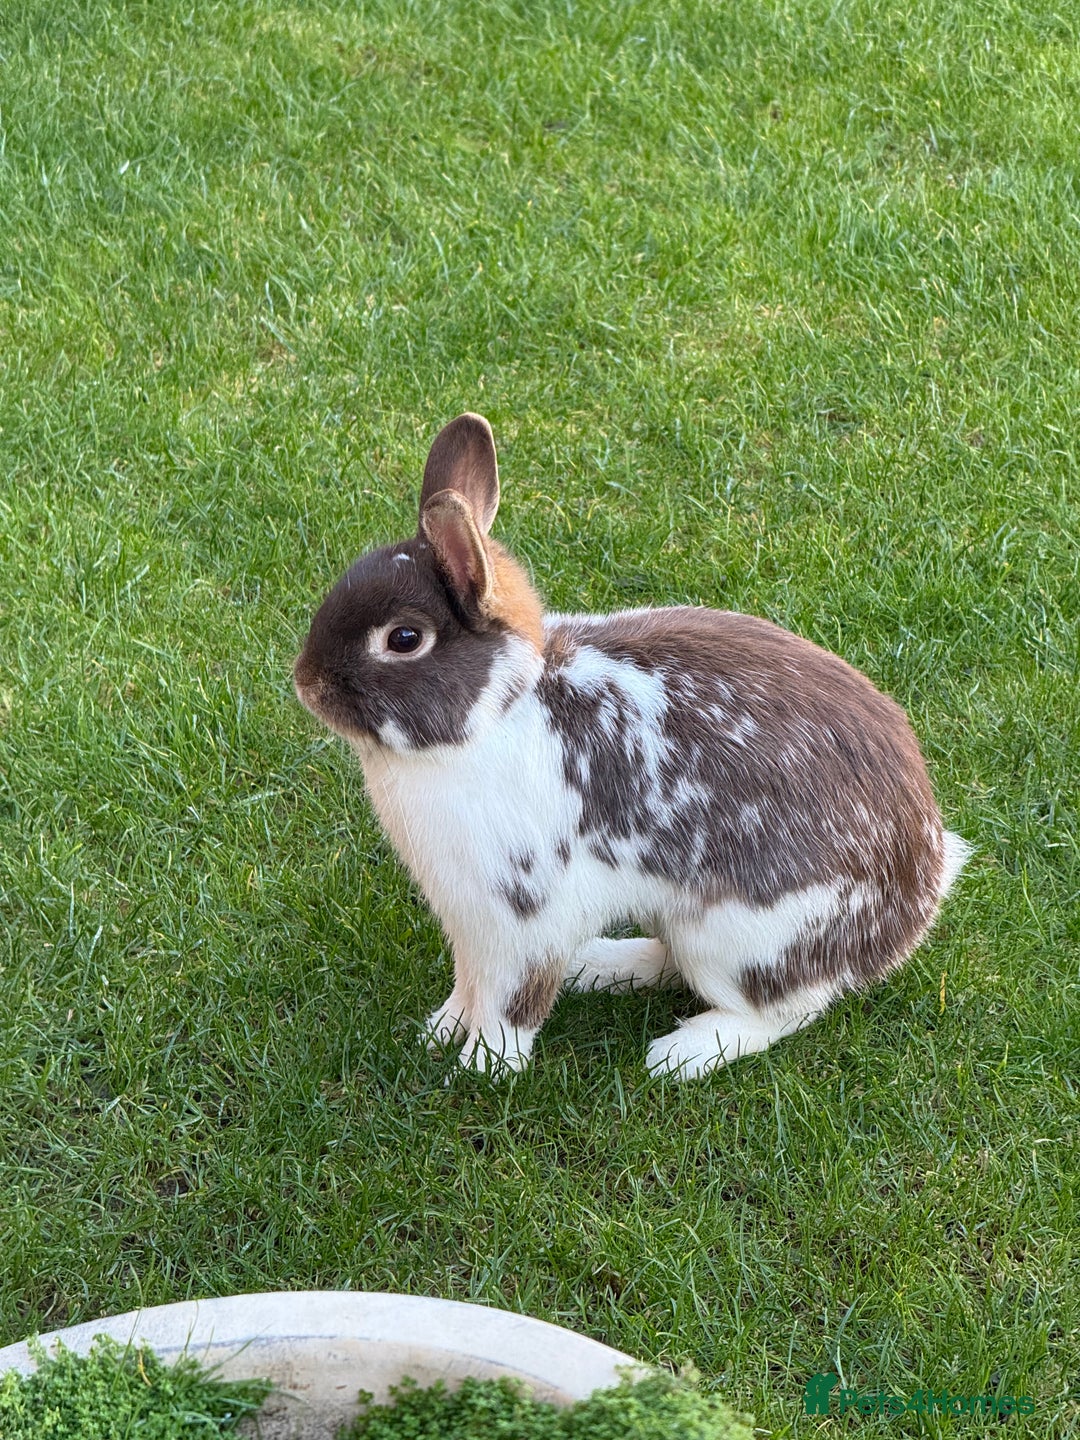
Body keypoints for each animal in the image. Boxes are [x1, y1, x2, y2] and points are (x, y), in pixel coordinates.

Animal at [294, 413, 969, 1080]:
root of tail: (921, 894)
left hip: (738, 940)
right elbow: (468, 984)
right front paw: (439, 1032)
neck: (496, 714)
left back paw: (680, 1053)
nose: (306, 682)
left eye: (404, 638)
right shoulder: (469, 924)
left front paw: (484, 1065)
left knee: (781, 1009)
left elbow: (511, 999)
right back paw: (602, 967)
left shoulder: (521, 920)